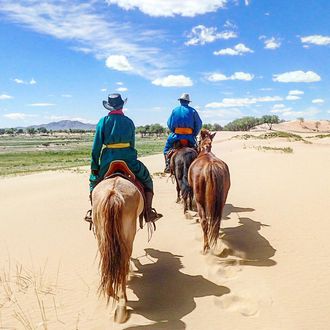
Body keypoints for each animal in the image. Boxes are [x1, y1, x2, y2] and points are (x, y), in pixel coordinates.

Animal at [91, 175, 143, 322]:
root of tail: (113, 193)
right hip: (128, 234)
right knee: (122, 263)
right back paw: (122, 303)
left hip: (102, 234)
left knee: (107, 261)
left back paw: (111, 293)